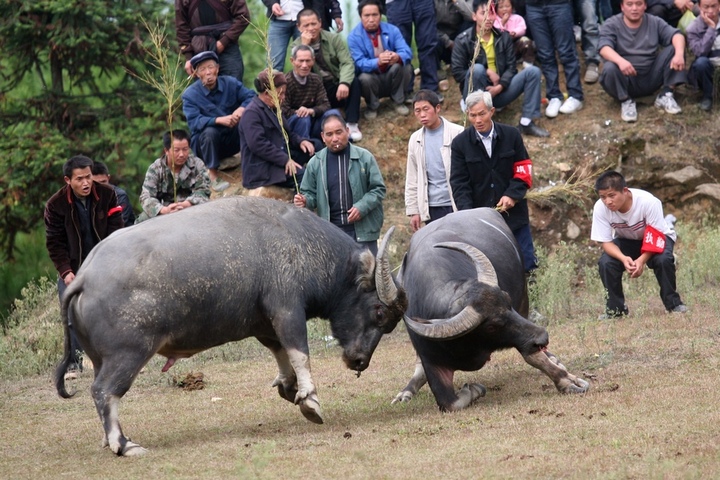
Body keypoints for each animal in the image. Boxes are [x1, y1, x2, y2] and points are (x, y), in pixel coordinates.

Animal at [390, 208, 588, 410]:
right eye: (492, 326)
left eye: (508, 301)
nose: (542, 337)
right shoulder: (431, 359)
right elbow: (450, 403)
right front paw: (473, 390)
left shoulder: (521, 330)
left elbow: (532, 355)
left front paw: (569, 381)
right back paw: (405, 393)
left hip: (525, 300)